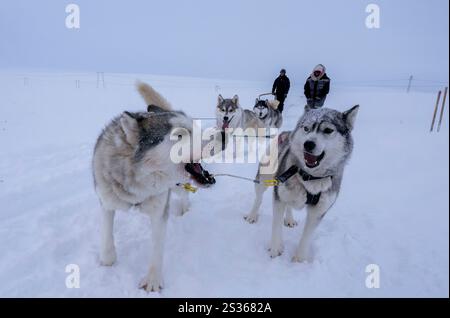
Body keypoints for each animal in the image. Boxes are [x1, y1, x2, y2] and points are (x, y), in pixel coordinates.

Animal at [94, 82, 221, 290]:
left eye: (194, 126)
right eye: (180, 135)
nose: (224, 135)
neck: (138, 186)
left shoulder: (160, 211)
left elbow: (157, 248)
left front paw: (152, 280)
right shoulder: (106, 202)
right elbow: (106, 235)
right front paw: (107, 260)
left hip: (176, 186)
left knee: (185, 193)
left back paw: (184, 208)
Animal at [244, 105, 360, 262]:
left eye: (328, 130)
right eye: (306, 128)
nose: (308, 144)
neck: (310, 177)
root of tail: (286, 132)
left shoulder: (318, 212)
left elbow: (306, 237)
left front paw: (299, 260)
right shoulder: (279, 198)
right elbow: (276, 227)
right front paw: (275, 249)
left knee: (289, 206)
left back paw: (289, 219)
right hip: (264, 179)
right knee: (259, 198)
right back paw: (252, 215)